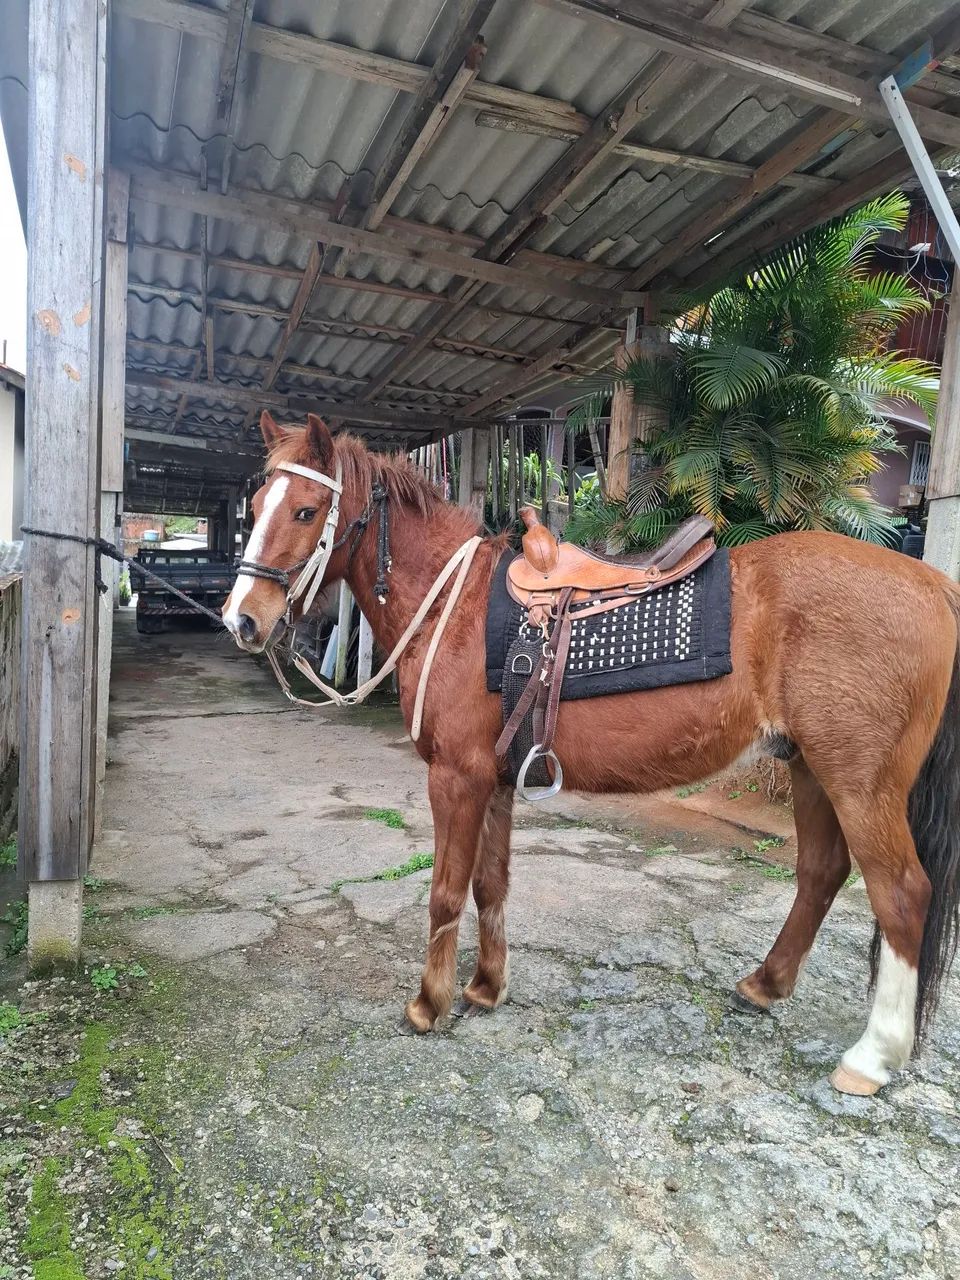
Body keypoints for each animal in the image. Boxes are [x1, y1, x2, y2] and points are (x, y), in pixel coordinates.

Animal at [222, 411, 960, 1097]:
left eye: (306, 510)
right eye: (254, 507)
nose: (241, 619)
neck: (454, 607)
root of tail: (934, 586)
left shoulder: (456, 778)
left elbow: (444, 892)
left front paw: (429, 1003)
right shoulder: (493, 780)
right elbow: (491, 884)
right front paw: (486, 987)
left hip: (860, 784)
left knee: (902, 895)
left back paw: (870, 1057)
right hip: (808, 767)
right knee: (821, 873)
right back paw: (765, 984)